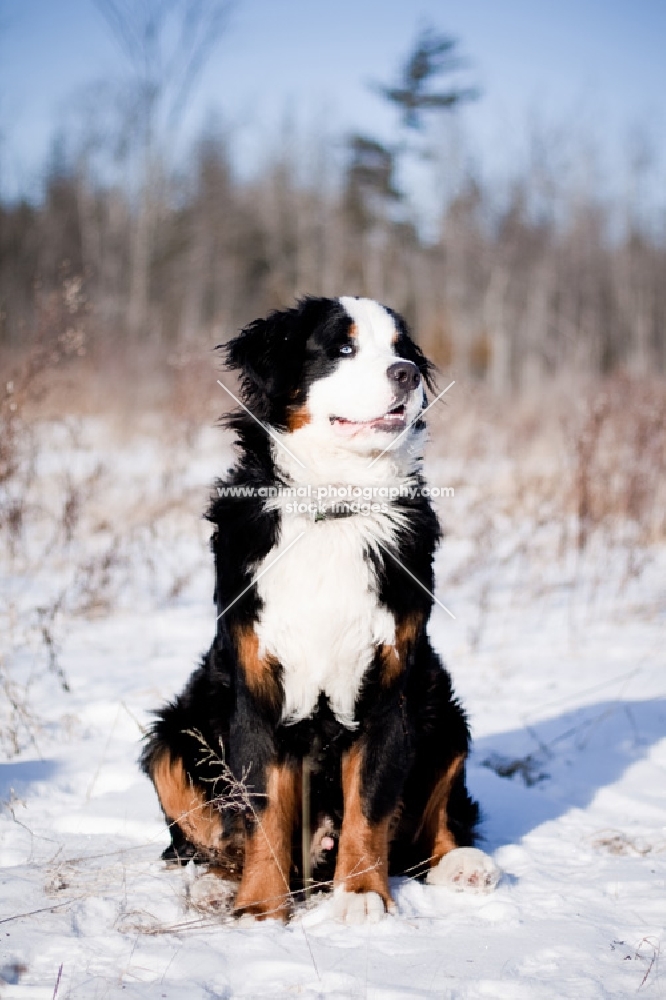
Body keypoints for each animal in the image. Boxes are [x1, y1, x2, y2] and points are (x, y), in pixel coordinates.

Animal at [144, 294, 498, 920]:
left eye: (401, 351)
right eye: (342, 348)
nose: (405, 375)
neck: (335, 506)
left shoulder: (391, 685)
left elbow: (371, 806)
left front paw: (359, 896)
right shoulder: (256, 687)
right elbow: (262, 809)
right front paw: (259, 909)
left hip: (442, 705)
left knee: (438, 820)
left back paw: (463, 864)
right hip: (174, 734)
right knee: (205, 837)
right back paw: (217, 884)